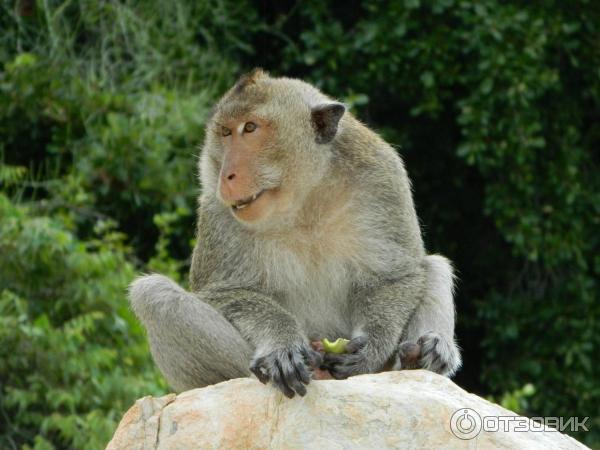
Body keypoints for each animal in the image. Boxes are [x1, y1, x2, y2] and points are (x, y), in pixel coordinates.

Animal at [129, 68, 462, 400]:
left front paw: (371, 348)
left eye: (250, 128)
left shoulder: (382, 176)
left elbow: (396, 275)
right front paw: (282, 346)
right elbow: (225, 291)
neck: (305, 199)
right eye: (225, 132)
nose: (227, 175)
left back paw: (422, 355)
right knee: (153, 294)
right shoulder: (216, 204)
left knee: (433, 265)